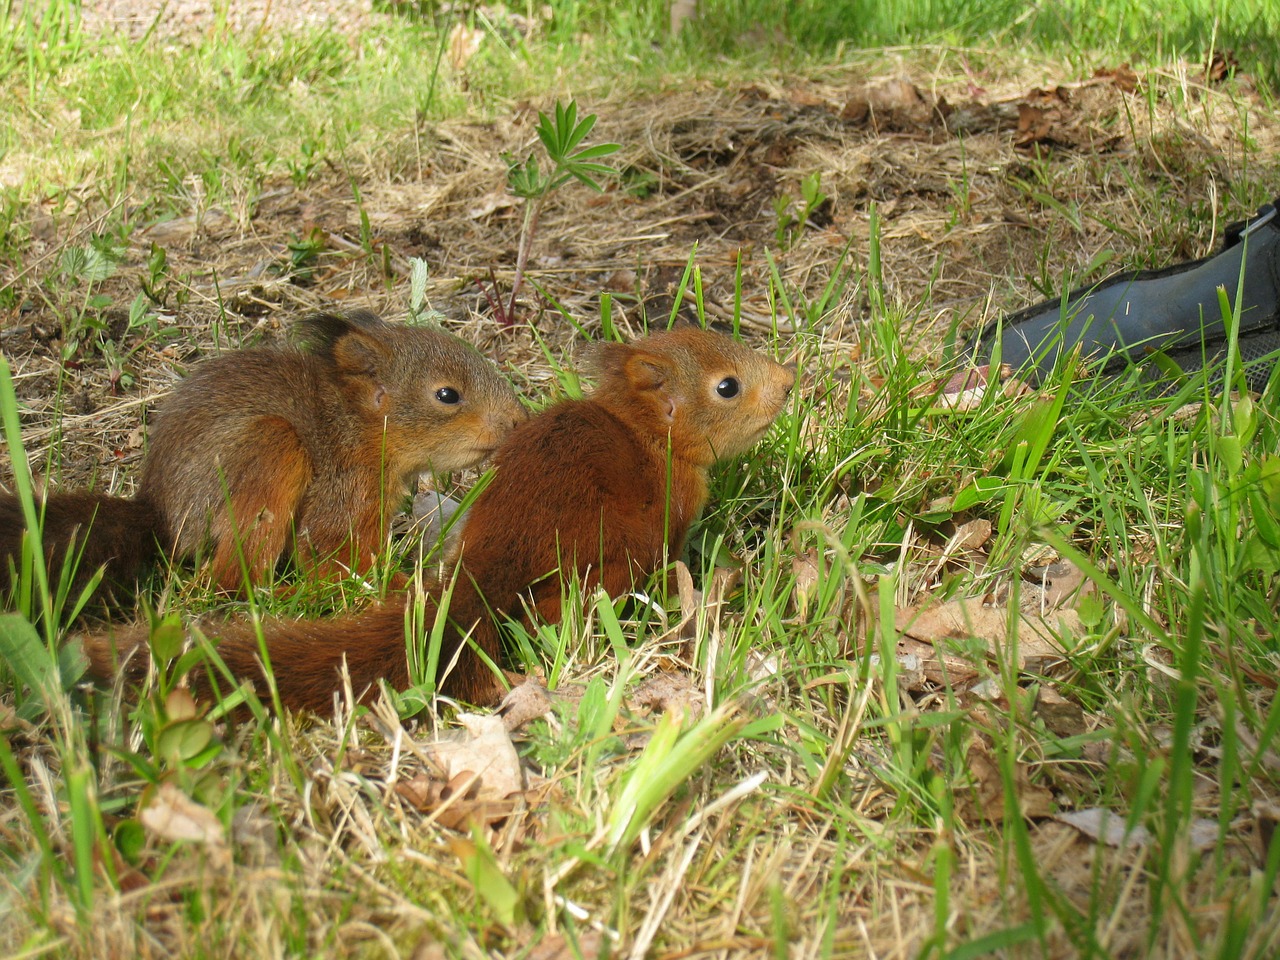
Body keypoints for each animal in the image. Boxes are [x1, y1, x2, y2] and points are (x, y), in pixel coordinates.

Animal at [1, 312, 524, 601]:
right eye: (447, 395)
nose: (519, 422)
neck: (360, 427)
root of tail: (162, 516)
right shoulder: (342, 489)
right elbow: (332, 554)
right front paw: (401, 589)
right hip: (270, 452)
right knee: (230, 581)